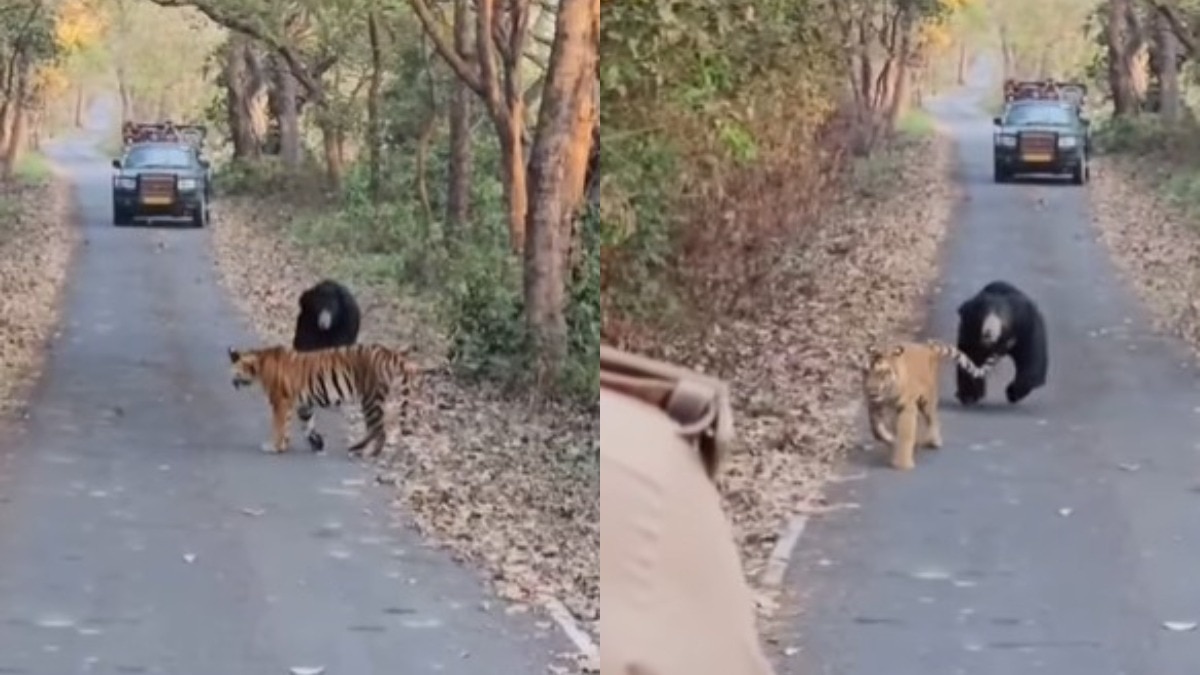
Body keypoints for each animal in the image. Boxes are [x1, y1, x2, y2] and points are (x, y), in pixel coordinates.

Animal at [227, 343, 420, 458]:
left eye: (236, 371)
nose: (232, 382)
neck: (259, 366)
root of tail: (387, 351)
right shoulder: (302, 404)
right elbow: (306, 425)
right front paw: (315, 443)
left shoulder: (280, 401)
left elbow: (279, 425)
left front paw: (274, 446)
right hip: (372, 400)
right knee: (376, 429)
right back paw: (359, 449)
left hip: (371, 399)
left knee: (378, 429)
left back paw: (365, 452)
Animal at [861, 340, 994, 471]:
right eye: (866, 372)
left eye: (882, 373)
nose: (871, 391)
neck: (887, 396)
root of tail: (929, 347)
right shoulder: (874, 406)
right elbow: (876, 430)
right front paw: (889, 439)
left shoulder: (906, 408)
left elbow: (905, 434)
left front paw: (903, 464)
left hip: (927, 401)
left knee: (933, 418)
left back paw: (934, 442)